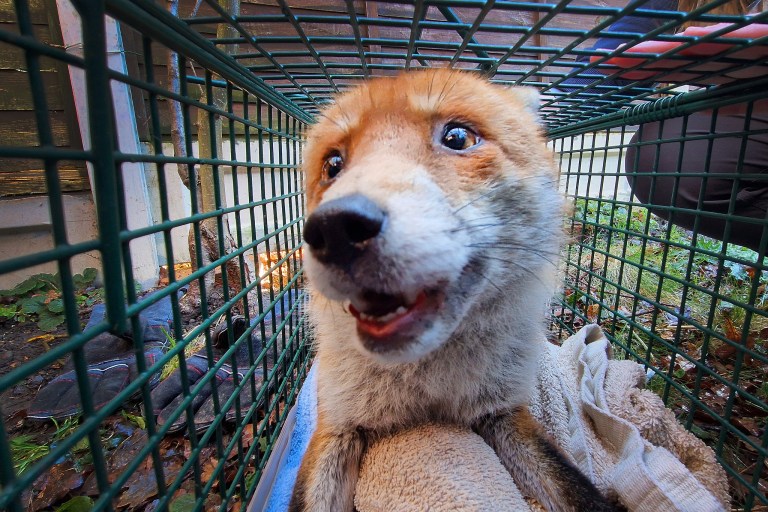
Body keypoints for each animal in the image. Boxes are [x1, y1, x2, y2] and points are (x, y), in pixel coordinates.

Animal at [290, 69, 621, 512]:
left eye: (458, 138)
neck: (429, 391)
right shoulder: (338, 422)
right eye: (333, 164)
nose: (336, 228)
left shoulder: (503, 411)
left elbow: (581, 493)